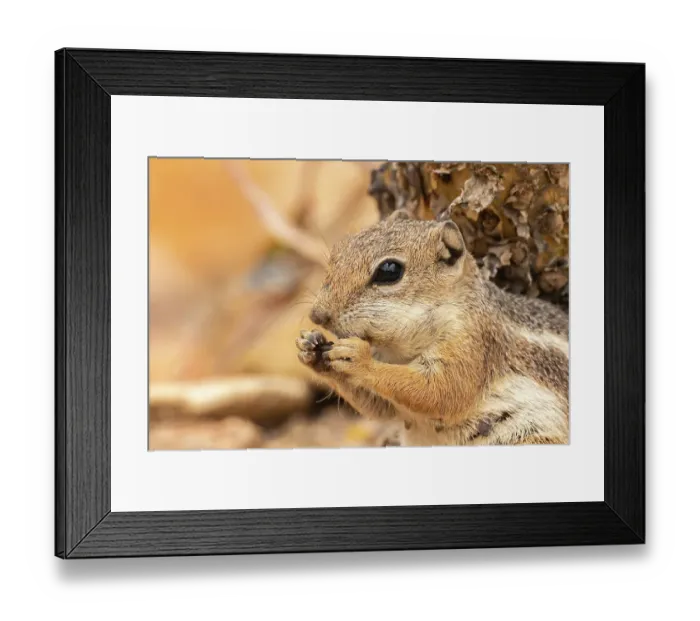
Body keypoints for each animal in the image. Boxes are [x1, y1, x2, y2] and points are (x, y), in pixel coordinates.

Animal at [295, 209, 569, 447]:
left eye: (389, 270)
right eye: (337, 251)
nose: (317, 314)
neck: (400, 349)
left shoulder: (472, 343)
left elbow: (441, 391)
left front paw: (359, 359)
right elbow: (380, 406)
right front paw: (310, 349)